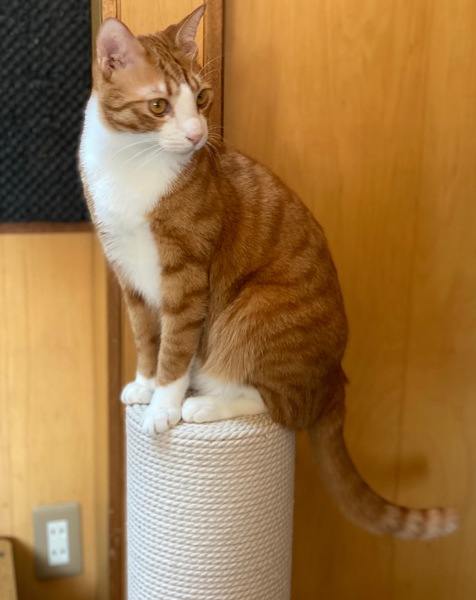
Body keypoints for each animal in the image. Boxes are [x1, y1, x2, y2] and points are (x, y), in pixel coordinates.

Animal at [79, 5, 457, 539]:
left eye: (201, 97)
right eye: (158, 106)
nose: (197, 134)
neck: (131, 164)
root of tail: (334, 379)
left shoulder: (186, 276)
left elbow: (175, 344)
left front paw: (164, 404)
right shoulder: (128, 274)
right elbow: (146, 337)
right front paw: (144, 384)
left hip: (255, 309)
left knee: (281, 406)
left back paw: (203, 403)